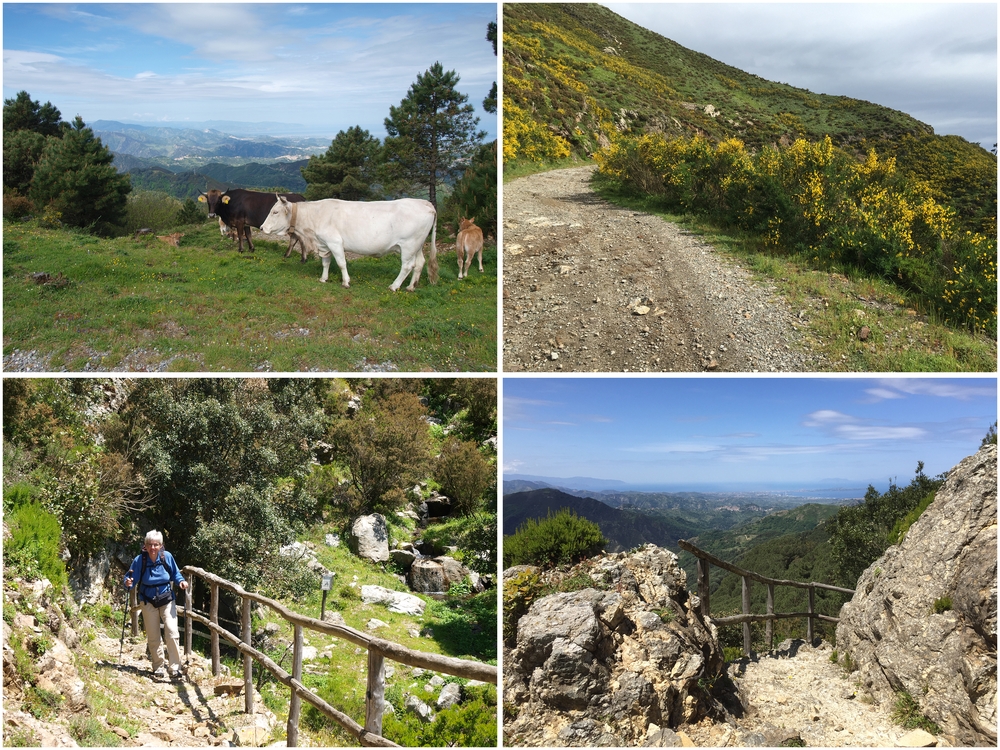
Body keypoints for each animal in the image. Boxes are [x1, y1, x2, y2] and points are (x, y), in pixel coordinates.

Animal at [262, 197, 438, 290]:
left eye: (275, 212)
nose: (262, 227)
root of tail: (424, 203)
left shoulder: (334, 242)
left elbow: (341, 263)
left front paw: (346, 282)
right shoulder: (324, 244)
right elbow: (326, 262)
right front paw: (323, 278)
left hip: (408, 245)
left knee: (407, 266)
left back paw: (394, 286)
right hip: (417, 245)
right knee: (420, 263)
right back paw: (411, 287)